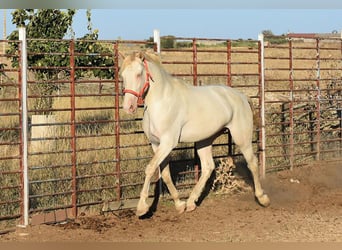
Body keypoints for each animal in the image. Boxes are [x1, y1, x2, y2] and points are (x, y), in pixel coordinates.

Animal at [120, 51, 270, 217]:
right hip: (205, 140)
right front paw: (179, 204)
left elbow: (150, 168)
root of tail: (242, 96)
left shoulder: (168, 143)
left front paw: (142, 208)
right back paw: (191, 202)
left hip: (241, 138)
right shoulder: (156, 144)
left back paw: (262, 198)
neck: (161, 102)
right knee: (208, 167)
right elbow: (165, 174)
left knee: (252, 162)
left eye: (139, 74)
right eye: (122, 75)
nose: (128, 107)